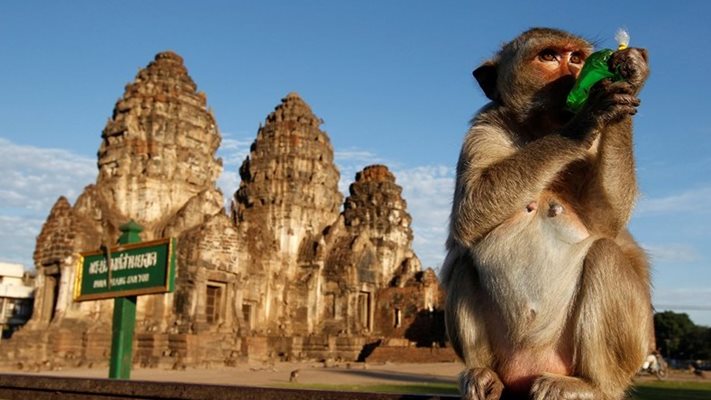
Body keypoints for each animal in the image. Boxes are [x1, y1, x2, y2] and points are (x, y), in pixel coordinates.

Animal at [442, 28, 652, 400]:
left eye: (576, 58)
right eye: (550, 57)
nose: (572, 75)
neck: (538, 130)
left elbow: (607, 221)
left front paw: (630, 75)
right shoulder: (483, 128)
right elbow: (470, 212)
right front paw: (583, 122)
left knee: (605, 253)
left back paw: (591, 385)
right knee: (464, 258)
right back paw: (483, 375)